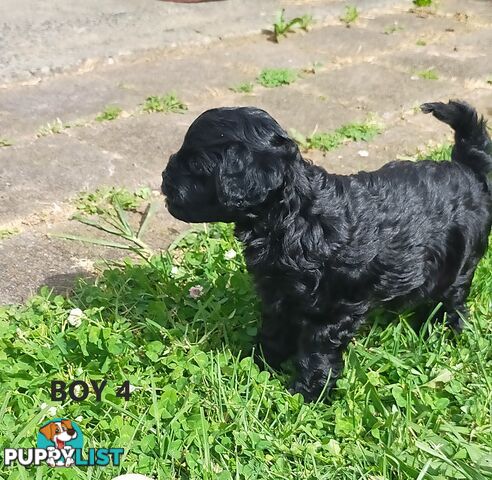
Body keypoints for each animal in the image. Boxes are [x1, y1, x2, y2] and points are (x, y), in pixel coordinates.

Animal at [162, 100, 492, 402]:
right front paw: (260, 363)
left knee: (453, 300)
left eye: (196, 166)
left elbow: (317, 352)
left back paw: (445, 331)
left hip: (460, 264)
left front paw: (306, 393)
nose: (164, 179)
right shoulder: (278, 293)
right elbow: (274, 330)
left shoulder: (332, 309)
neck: (294, 217)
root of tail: (468, 170)